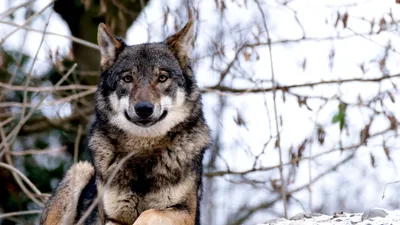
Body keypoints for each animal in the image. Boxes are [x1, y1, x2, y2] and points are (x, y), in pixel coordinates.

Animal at [39, 20, 211, 224]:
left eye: (162, 78)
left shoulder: (185, 213)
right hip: (81, 170)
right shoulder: (112, 216)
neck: (143, 148)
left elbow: (148, 213)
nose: (143, 109)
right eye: (128, 78)